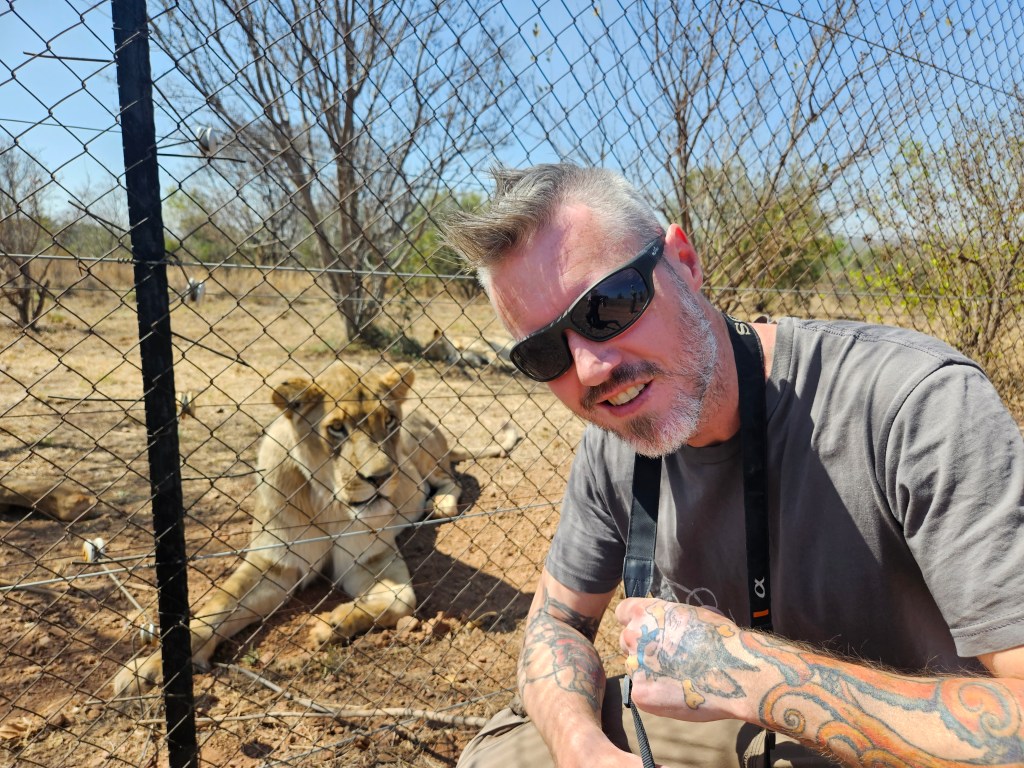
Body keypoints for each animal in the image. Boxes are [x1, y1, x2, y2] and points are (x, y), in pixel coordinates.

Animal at [112, 361, 519, 697]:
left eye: (389, 421)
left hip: (422, 450)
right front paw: (150, 669)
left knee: (453, 478)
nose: (381, 477)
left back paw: (440, 505)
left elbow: (402, 599)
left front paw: (332, 624)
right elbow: (217, 608)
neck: (329, 502)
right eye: (336, 428)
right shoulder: (276, 564)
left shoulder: (369, 558)